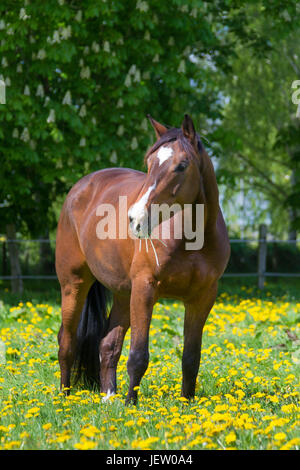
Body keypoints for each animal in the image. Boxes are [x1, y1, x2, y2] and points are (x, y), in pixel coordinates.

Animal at [56, 114, 230, 404]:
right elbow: (138, 355)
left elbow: (191, 358)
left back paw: (108, 397)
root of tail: (80, 188)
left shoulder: (202, 298)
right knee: (67, 342)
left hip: (123, 294)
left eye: (182, 165)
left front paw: (186, 403)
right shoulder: (145, 289)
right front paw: (131, 405)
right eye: (149, 164)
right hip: (74, 285)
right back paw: (64, 397)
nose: (135, 219)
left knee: (108, 344)